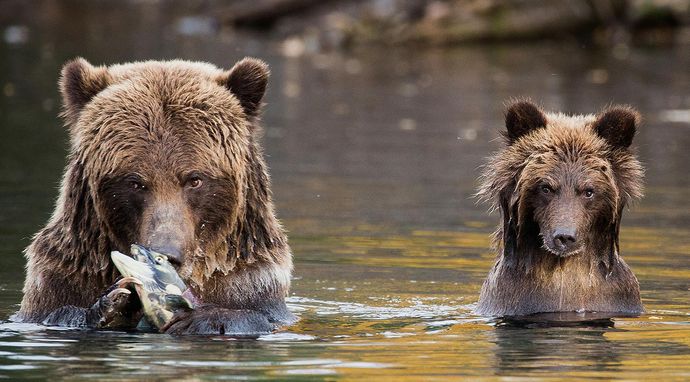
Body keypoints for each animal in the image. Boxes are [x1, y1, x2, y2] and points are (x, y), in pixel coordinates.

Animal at [15, 56, 296, 334]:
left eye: (195, 179)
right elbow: (57, 311)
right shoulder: (59, 280)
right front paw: (110, 303)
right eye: (135, 182)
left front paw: (202, 318)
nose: (167, 253)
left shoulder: (251, 284)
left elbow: (251, 313)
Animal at [476, 100, 644, 316]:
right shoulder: (512, 300)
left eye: (589, 191)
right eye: (546, 187)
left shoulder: (618, 297)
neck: (564, 269)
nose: (564, 236)